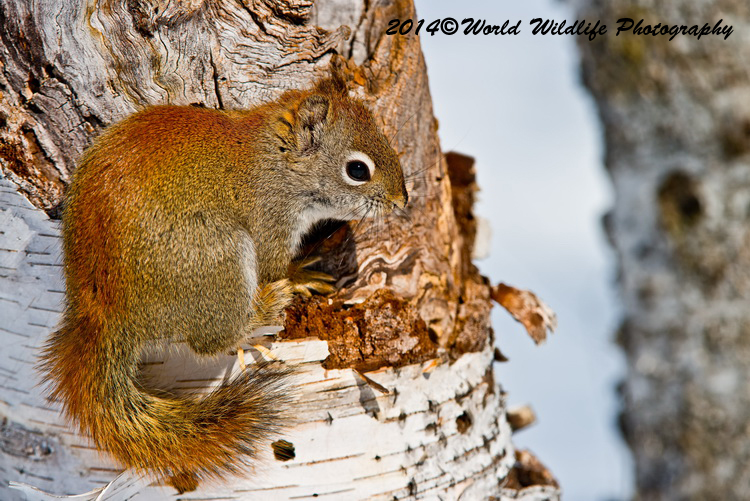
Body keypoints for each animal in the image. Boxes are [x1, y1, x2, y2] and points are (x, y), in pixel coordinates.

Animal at [39, 76, 407, 493]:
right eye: (358, 170)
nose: (402, 200)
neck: (275, 158)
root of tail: (106, 312)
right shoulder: (270, 220)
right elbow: (275, 266)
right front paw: (299, 275)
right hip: (217, 258)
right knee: (211, 340)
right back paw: (258, 319)